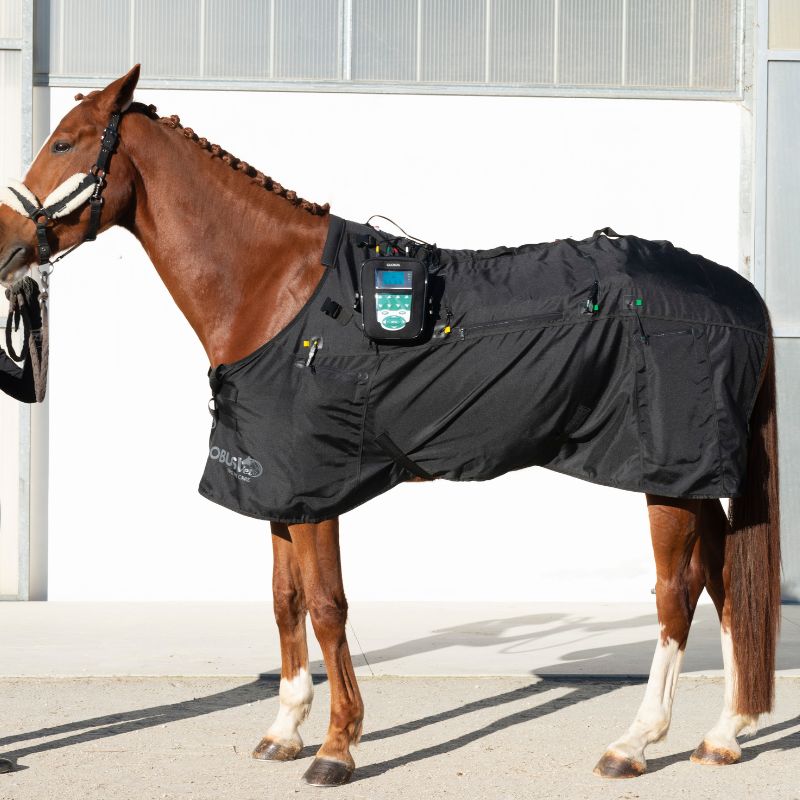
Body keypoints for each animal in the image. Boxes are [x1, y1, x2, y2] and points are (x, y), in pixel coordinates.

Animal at [0, 66, 781, 786]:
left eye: (63, 142)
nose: (7, 241)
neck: (276, 291)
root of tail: (738, 292)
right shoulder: (279, 489)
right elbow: (285, 603)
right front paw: (284, 731)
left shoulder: (316, 490)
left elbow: (326, 607)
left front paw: (337, 747)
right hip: (692, 482)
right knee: (724, 579)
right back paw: (725, 734)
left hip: (667, 478)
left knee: (678, 591)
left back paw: (635, 742)